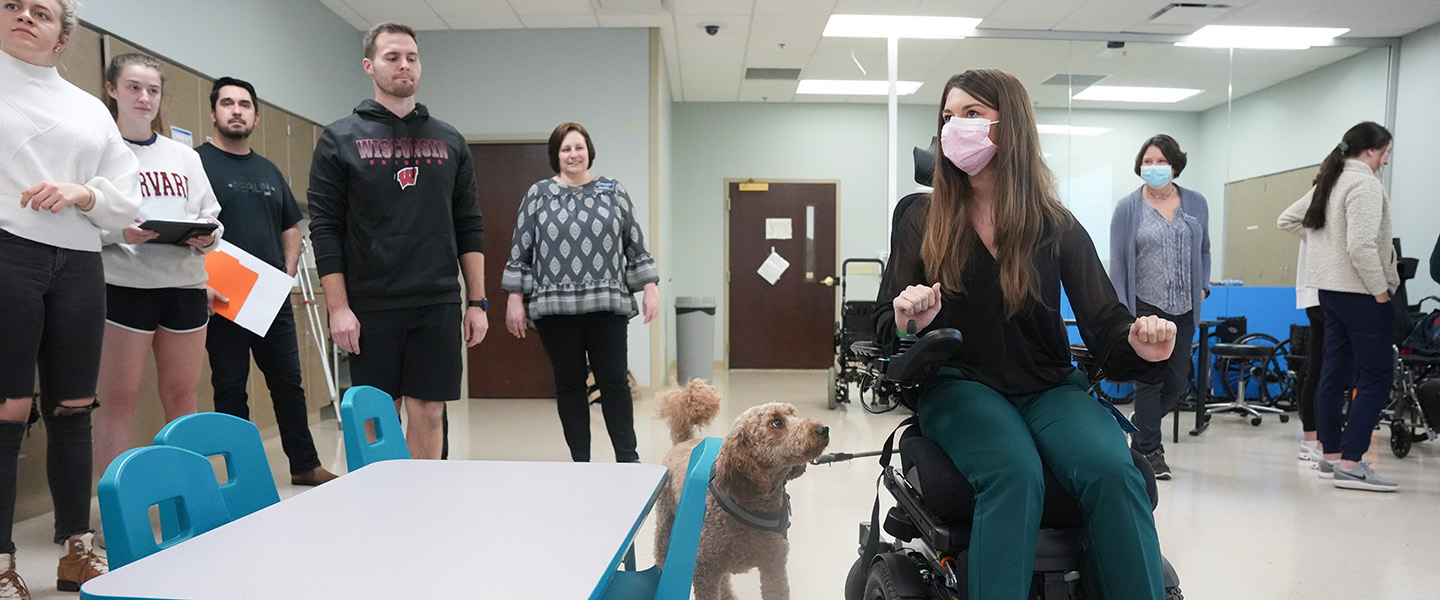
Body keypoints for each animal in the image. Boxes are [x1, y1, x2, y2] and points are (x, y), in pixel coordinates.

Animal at [656, 379, 835, 598]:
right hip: (666, 530)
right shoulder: (705, 571)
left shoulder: (774, 566)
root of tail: (684, 440)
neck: (754, 500)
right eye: (776, 422)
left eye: (794, 414)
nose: (823, 429)